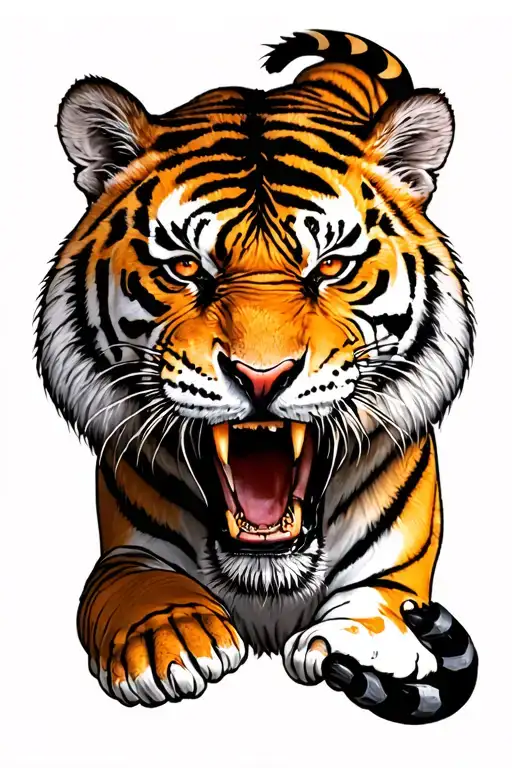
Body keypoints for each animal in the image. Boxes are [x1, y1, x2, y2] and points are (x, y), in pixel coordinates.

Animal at [35, 29, 478, 723]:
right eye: (187, 267)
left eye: (332, 266)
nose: (262, 376)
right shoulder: (124, 551)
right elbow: (136, 584)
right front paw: (171, 637)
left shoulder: (398, 571)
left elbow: (383, 603)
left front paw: (347, 644)